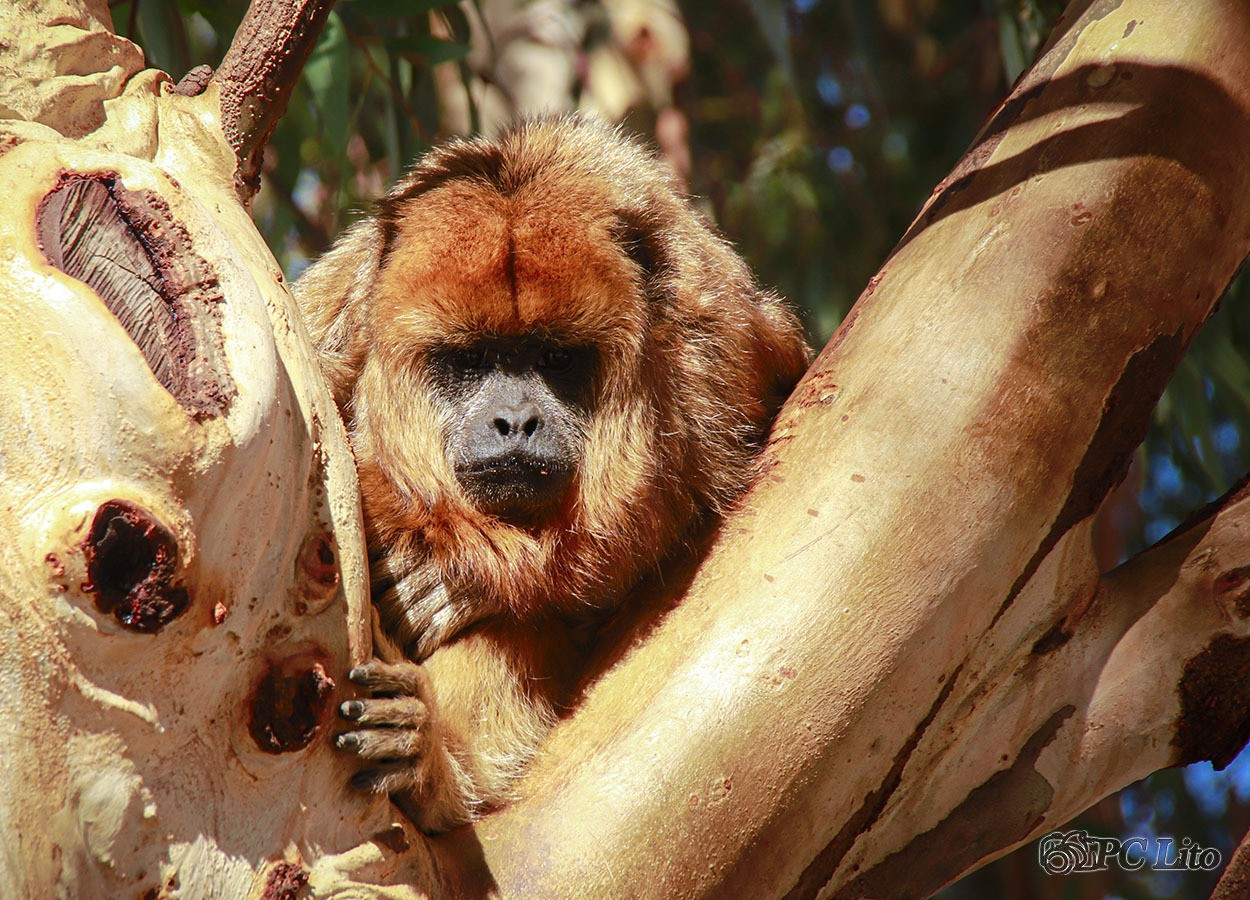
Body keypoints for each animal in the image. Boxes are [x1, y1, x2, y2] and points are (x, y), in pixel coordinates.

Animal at [297, 116, 815, 835]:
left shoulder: (719, 345)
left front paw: (457, 580)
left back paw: (434, 768)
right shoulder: (329, 326)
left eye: (556, 359)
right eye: (471, 360)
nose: (515, 421)